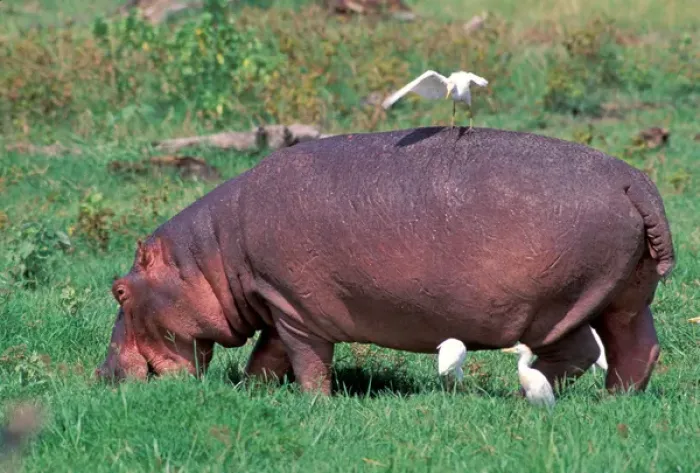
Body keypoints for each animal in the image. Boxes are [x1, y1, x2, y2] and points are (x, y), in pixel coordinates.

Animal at [97, 127, 675, 396]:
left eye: (118, 290)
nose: (102, 374)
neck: (208, 258)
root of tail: (635, 182)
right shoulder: (278, 301)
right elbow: (269, 354)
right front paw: (254, 392)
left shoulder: (294, 307)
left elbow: (305, 358)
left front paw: (315, 403)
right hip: (623, 294)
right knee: (636, 348)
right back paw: (614, 401)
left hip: (555, 305)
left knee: (576, 353)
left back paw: (526, 393)